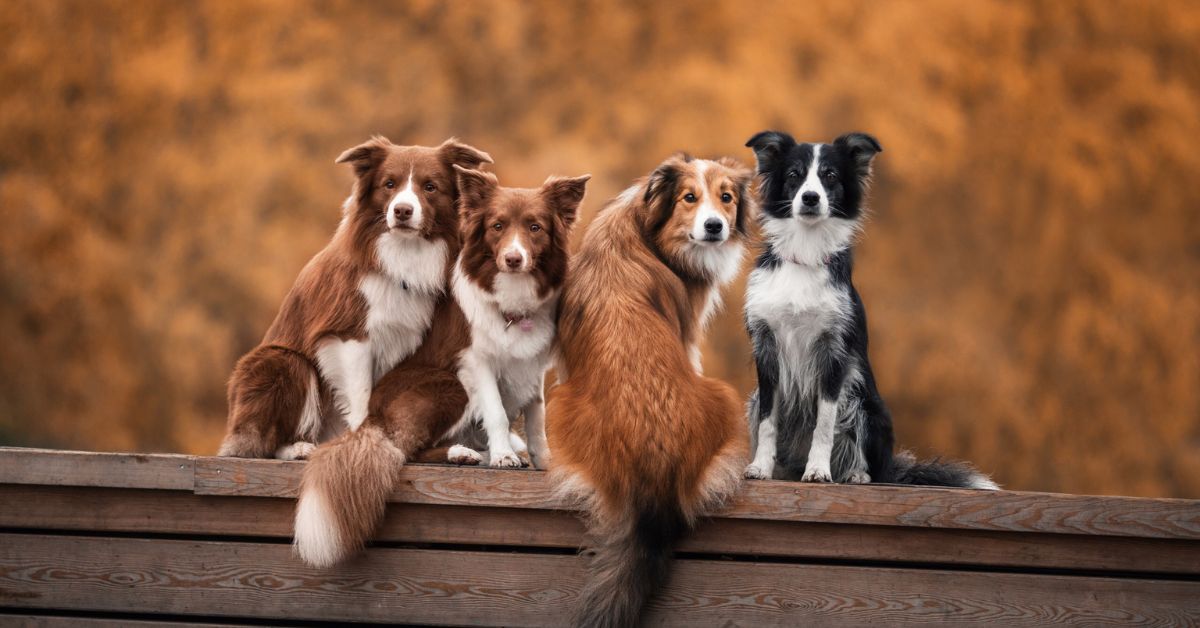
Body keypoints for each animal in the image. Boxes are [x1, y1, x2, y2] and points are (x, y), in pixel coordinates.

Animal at [218, 137, 489, 458]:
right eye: (389, 184)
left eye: (430, 187)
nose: (402, 211)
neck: (402, 252)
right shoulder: (349, 334)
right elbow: (361, 395)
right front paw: (362, 441)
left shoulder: (404, 339)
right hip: (281, 361)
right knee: (262, 443)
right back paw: (298, 447)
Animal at [549, 153, 753, 628]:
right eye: (689, 198)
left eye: (727, 197)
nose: (715, 226)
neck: (646, 226)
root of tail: (655, 480)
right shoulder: (688, 333)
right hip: (724, 396)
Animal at [739, 130, 993, 489]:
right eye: (794, 175)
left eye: (830, 176)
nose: (811, 198)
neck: (806, 250)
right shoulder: (767, 350)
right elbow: (766, 422)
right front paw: (760, 467)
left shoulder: (833, 354)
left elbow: (824, 424)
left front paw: (818, 470)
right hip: (756, 398)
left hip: (864, 403)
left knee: (874, 468)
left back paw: (854, 473)